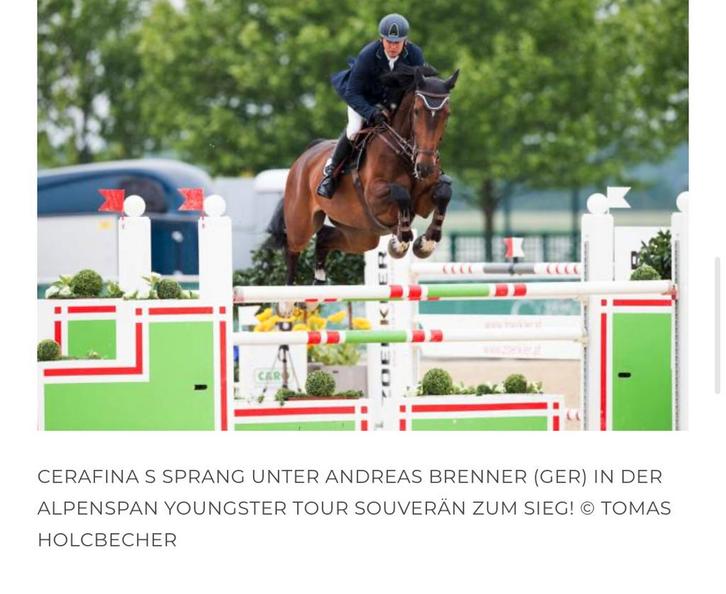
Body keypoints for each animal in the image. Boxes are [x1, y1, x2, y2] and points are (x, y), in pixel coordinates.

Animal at [266, 64, 459, 288]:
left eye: (447, 114)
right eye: (417, 111)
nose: (425, 167)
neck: (405, 153)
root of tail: (305, 155)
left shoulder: (424, 201)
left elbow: (444, 192)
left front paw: (425, 243)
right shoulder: (375, 197)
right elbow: (400, 193)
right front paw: (399, 243)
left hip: (361, 235)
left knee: (324, 237)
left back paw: (319, 280)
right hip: (302, 224)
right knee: (292, 250)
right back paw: (288, 294)